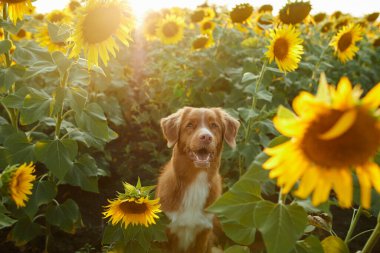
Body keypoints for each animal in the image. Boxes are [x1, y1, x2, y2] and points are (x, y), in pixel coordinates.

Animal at [155, 106, 239, 253]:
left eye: (214, 125)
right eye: (189, 125)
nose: (206, 137)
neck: (196, 180)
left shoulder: (203, 232)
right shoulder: (165, 233)